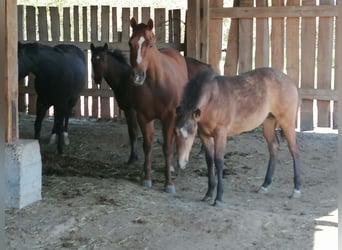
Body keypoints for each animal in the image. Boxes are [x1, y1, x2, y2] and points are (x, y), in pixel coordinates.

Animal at [128, 18, 188, 193]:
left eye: (150, 44)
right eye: (130, 43)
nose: (137, 75)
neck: (155, 83)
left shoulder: (170, 117)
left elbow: (167, 147)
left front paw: (169, 183)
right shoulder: (143, 117)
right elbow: (147, 145)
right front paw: (147, 177)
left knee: (173, 140)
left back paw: (172, 166)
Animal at [175, 67, 300, 206]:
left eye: (191, 132)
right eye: (176, 132)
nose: (181, 163)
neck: (212, 99)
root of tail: (289, 80)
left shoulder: (220, 134)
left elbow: (218, 161)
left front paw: (218, 198)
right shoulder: (204, 135)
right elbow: (209, 161)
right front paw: (208, 194)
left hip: (287, 122)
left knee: (294, 150)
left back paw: (296, 189)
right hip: (268, 122)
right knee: (274, 147)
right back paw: (265, 185)